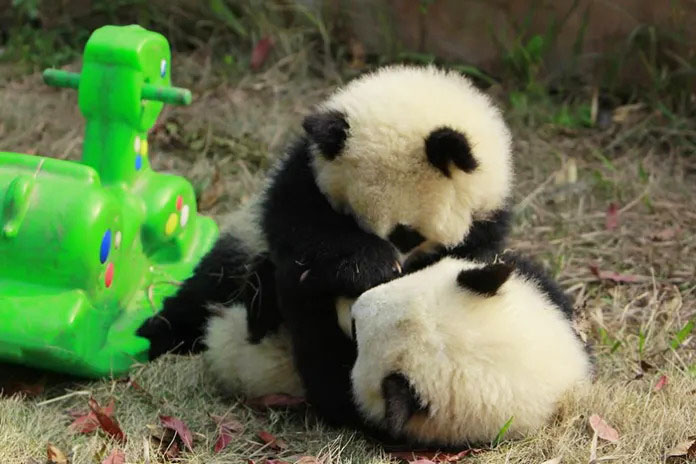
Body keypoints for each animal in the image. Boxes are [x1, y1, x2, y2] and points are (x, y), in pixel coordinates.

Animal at [139, 66, 512, 428]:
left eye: (406, 234)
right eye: (350, 220)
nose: (392, 273)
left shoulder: (487, 220)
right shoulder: (301, 173)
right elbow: (300, 225)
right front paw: (365, 267)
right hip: (239, 247)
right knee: (202, 294)